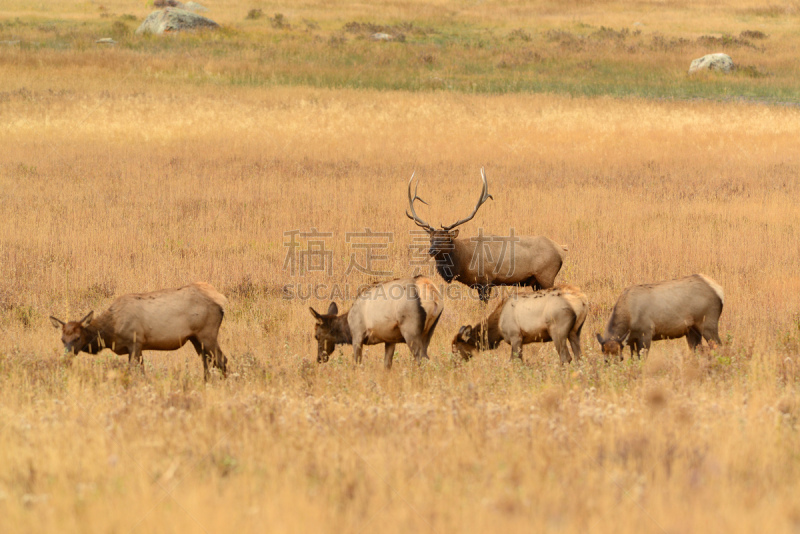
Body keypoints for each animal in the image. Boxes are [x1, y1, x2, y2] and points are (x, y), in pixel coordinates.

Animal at [49, 282, 227, 384]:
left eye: (78, 337)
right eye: (62, 339)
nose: (66, 358)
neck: (110, 332)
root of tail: (221, 304)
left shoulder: (135, 342)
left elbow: (135, 371)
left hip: (207, 333)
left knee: (221, 359)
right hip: (195, 338)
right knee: (207, 361)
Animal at [308, 276, 444, 368]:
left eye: (316, 336)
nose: (319, 358)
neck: (347, 327)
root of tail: (432, 292)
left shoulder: (357, 335)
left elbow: (357, 363)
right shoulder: (390, 340)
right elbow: (387, 365)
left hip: (410, 331)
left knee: (421, 358)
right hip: (429, 332)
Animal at [406, 169, 568, 302]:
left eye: (446, 239)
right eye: (431, 238)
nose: (431, 250)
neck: (464, 260)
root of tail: (561, 249)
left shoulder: (485, 280)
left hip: (546, 276)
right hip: (537, 282)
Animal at [450, 286, 588, 366]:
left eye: (455, 349)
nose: (454, 364)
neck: (498, 328)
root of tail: (581, 302)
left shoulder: (515, 336)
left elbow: (514, 361)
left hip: (557, 332)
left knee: (566, 358)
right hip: (575, 332)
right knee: (579, 357)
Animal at [592, 274, 724, 362]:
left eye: (621, 358)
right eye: (605, 360)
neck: (629, 318)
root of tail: (720, 292)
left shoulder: (646, 333)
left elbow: (642, 359)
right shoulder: (631, 340)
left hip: (708, 323)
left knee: (719, 346)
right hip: (691, 330)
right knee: (698, 351)